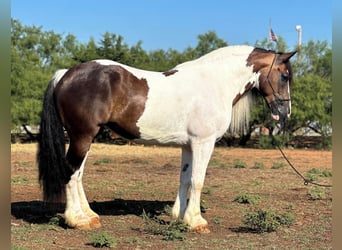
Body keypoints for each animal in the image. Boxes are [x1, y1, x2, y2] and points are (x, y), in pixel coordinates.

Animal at [38, 45, 296, 232]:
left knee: (78, 173)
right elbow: (198, 180)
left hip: (85, 139)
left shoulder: (189, 146)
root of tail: (65, 75)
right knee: (70, 172)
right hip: (81, 137)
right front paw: (196, 221)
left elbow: (185, 179)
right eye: (284, 76)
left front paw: (180, 216)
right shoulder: (203, 143)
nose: (285, 113)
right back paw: (77, 220)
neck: (214, 83)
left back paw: (90, 215)